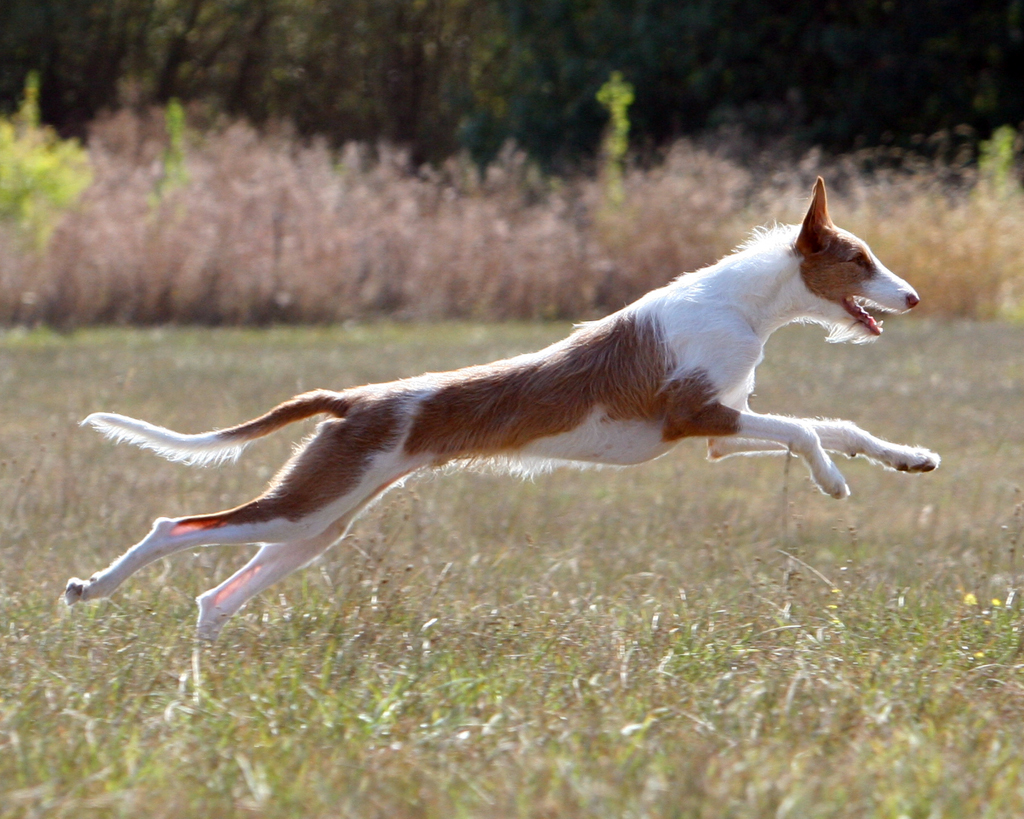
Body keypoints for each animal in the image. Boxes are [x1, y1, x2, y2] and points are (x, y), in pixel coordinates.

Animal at [66, 179, 937, 638]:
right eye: (860, 260)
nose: (914, 297)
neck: (744, 306)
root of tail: (355, 399)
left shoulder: (719, 432)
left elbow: (835, 425)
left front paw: (907, 457)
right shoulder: (696, 418)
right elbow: (806, 429)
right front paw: (831, 481)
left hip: (320, 522)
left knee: (215, 592)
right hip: (305, 505)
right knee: (175, 526)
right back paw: (93, 589)